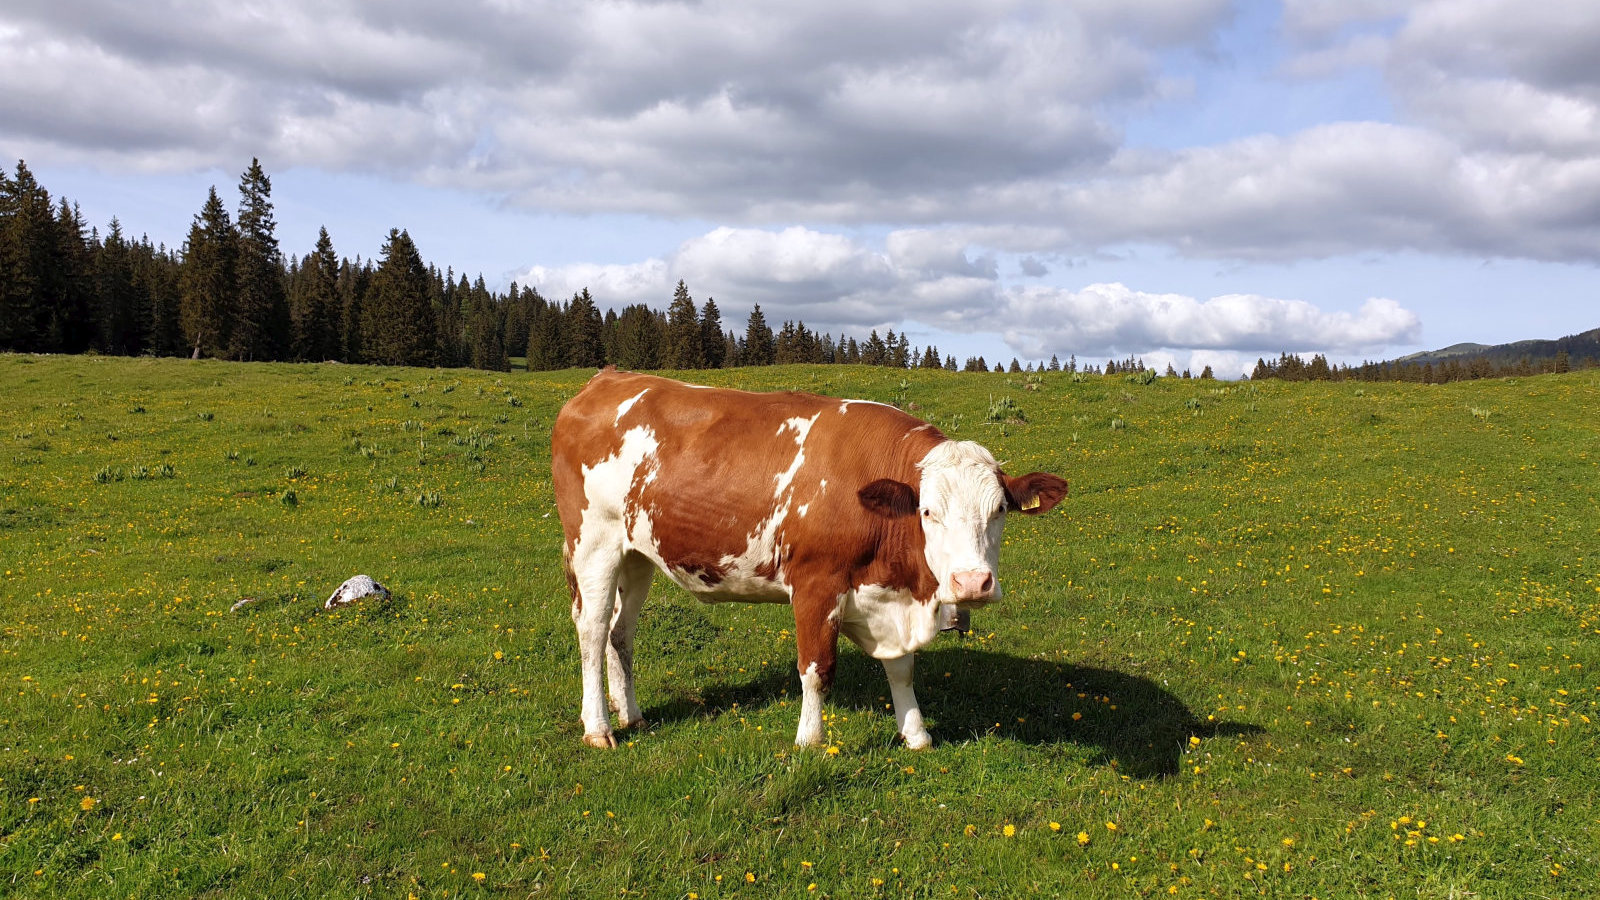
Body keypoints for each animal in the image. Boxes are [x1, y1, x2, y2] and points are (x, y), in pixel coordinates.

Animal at [547, 368, 1062, 746]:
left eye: (1000, 511)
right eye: (928, 512)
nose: (972, 583)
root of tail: (608, 378)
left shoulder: (887, 594)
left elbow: (901, 668)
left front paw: (916, 735)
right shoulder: (817, 584)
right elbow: (816, 670)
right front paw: (809, 742)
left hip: (636, 554)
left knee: (620, 633)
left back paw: (630, 714)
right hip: (593, 542)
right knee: (592, 630)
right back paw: (599, 729)